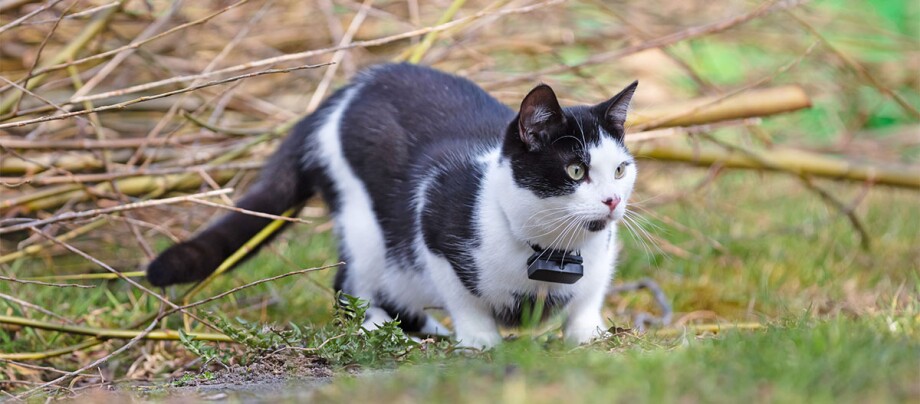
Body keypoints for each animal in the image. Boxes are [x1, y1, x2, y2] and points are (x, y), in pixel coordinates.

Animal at [147, 62, 636, 348]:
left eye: (619, 170)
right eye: (575, 170)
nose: (612, 201)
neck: (552, 248)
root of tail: (338, 96)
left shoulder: (604, 253)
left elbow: (589, 295)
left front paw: (590, 334)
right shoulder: (432, 220)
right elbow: (463, 297)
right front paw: (481, 341)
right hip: (365, 220)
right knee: (349, 284)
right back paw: (384, 327)